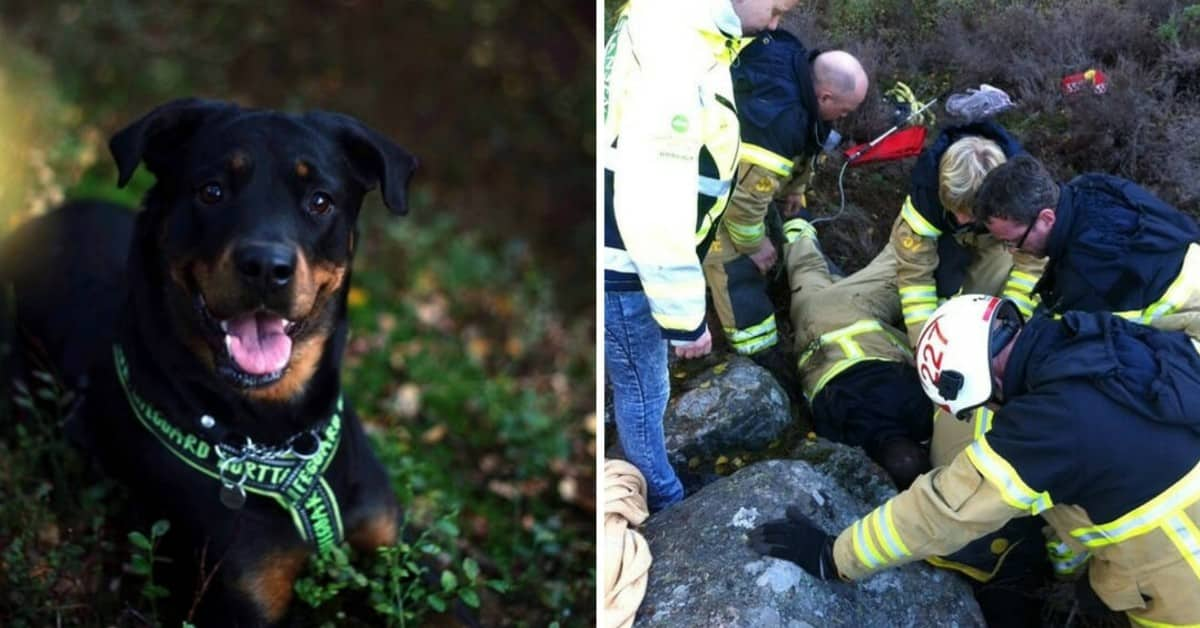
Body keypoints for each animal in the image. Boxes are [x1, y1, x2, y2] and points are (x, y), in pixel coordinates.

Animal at [0, 98, 420, 624]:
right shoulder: (240, 594)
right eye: (212, 191)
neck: (276, 435)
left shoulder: (397, 553)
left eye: (320, 201)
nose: (266, 268)